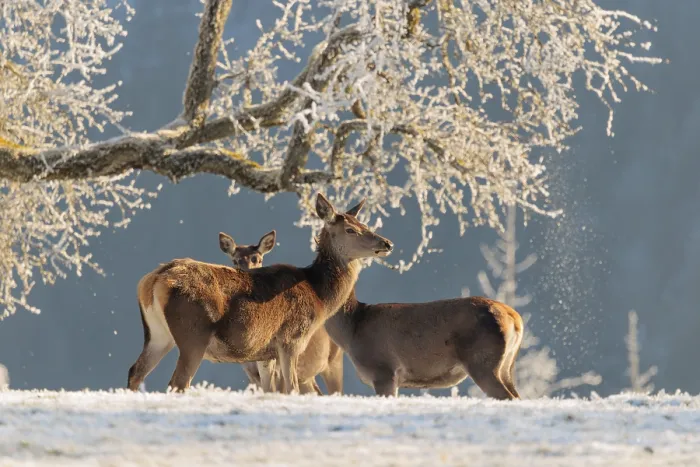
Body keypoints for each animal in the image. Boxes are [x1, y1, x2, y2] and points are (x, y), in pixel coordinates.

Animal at [218, 230, 343, 395]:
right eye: (235, 261)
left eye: (257, 259)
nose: (247, 275)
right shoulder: (251, 372)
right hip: (307, 376)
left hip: (334, 362)